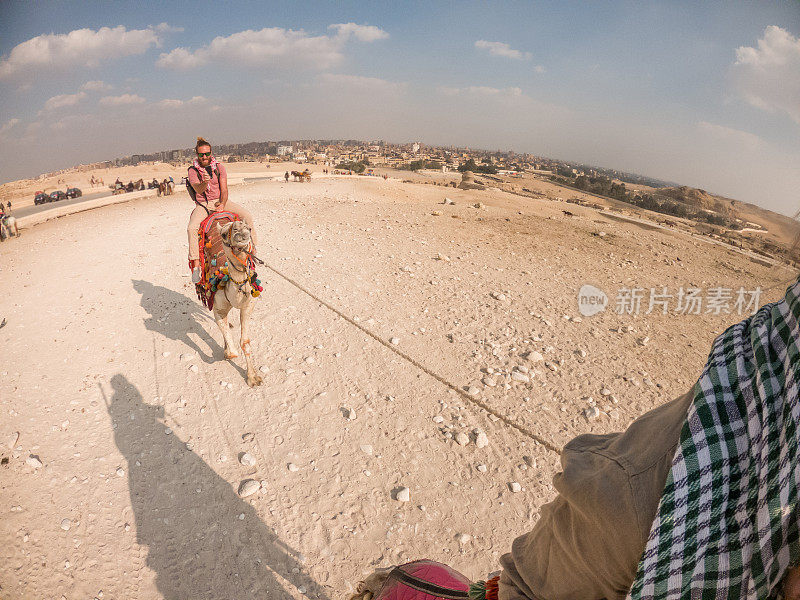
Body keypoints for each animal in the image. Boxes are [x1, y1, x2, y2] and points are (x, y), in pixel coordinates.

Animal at [212, 220, 262, 390]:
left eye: (249, 228)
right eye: (223, 234)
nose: (240, 228)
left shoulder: (248, 306)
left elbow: (244, 342)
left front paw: (253, 378)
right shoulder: (218, 308)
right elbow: (233, 351)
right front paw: (227, 352)